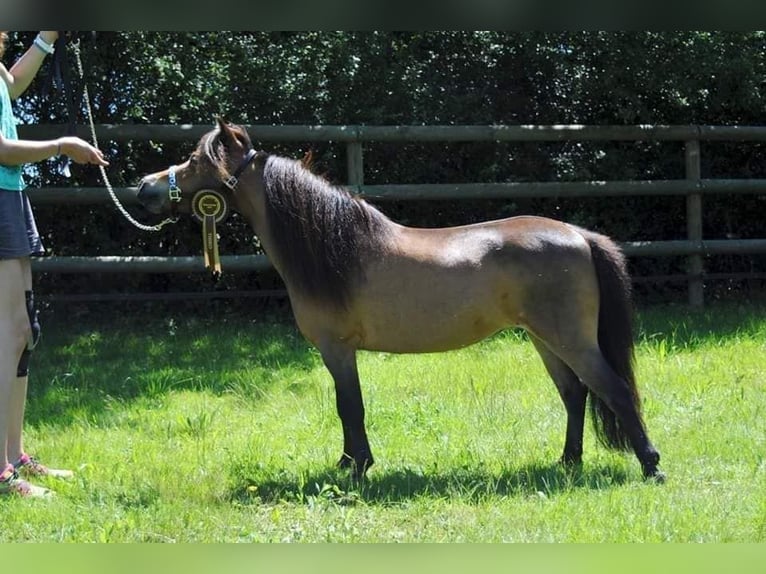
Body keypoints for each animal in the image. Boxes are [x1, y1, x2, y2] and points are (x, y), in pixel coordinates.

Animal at [138, 119, 664, 484]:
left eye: (194, 159)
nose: (144, 187)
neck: (335, 246)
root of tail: (579, 234)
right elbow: (347, 408)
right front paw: (347, 463)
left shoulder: (337, 348)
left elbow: (349, 407)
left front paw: (356, 468)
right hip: (544, 338)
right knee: (575, 394)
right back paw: (567, 463)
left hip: (569, 338)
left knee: (614, 391)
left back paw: (652, 466)